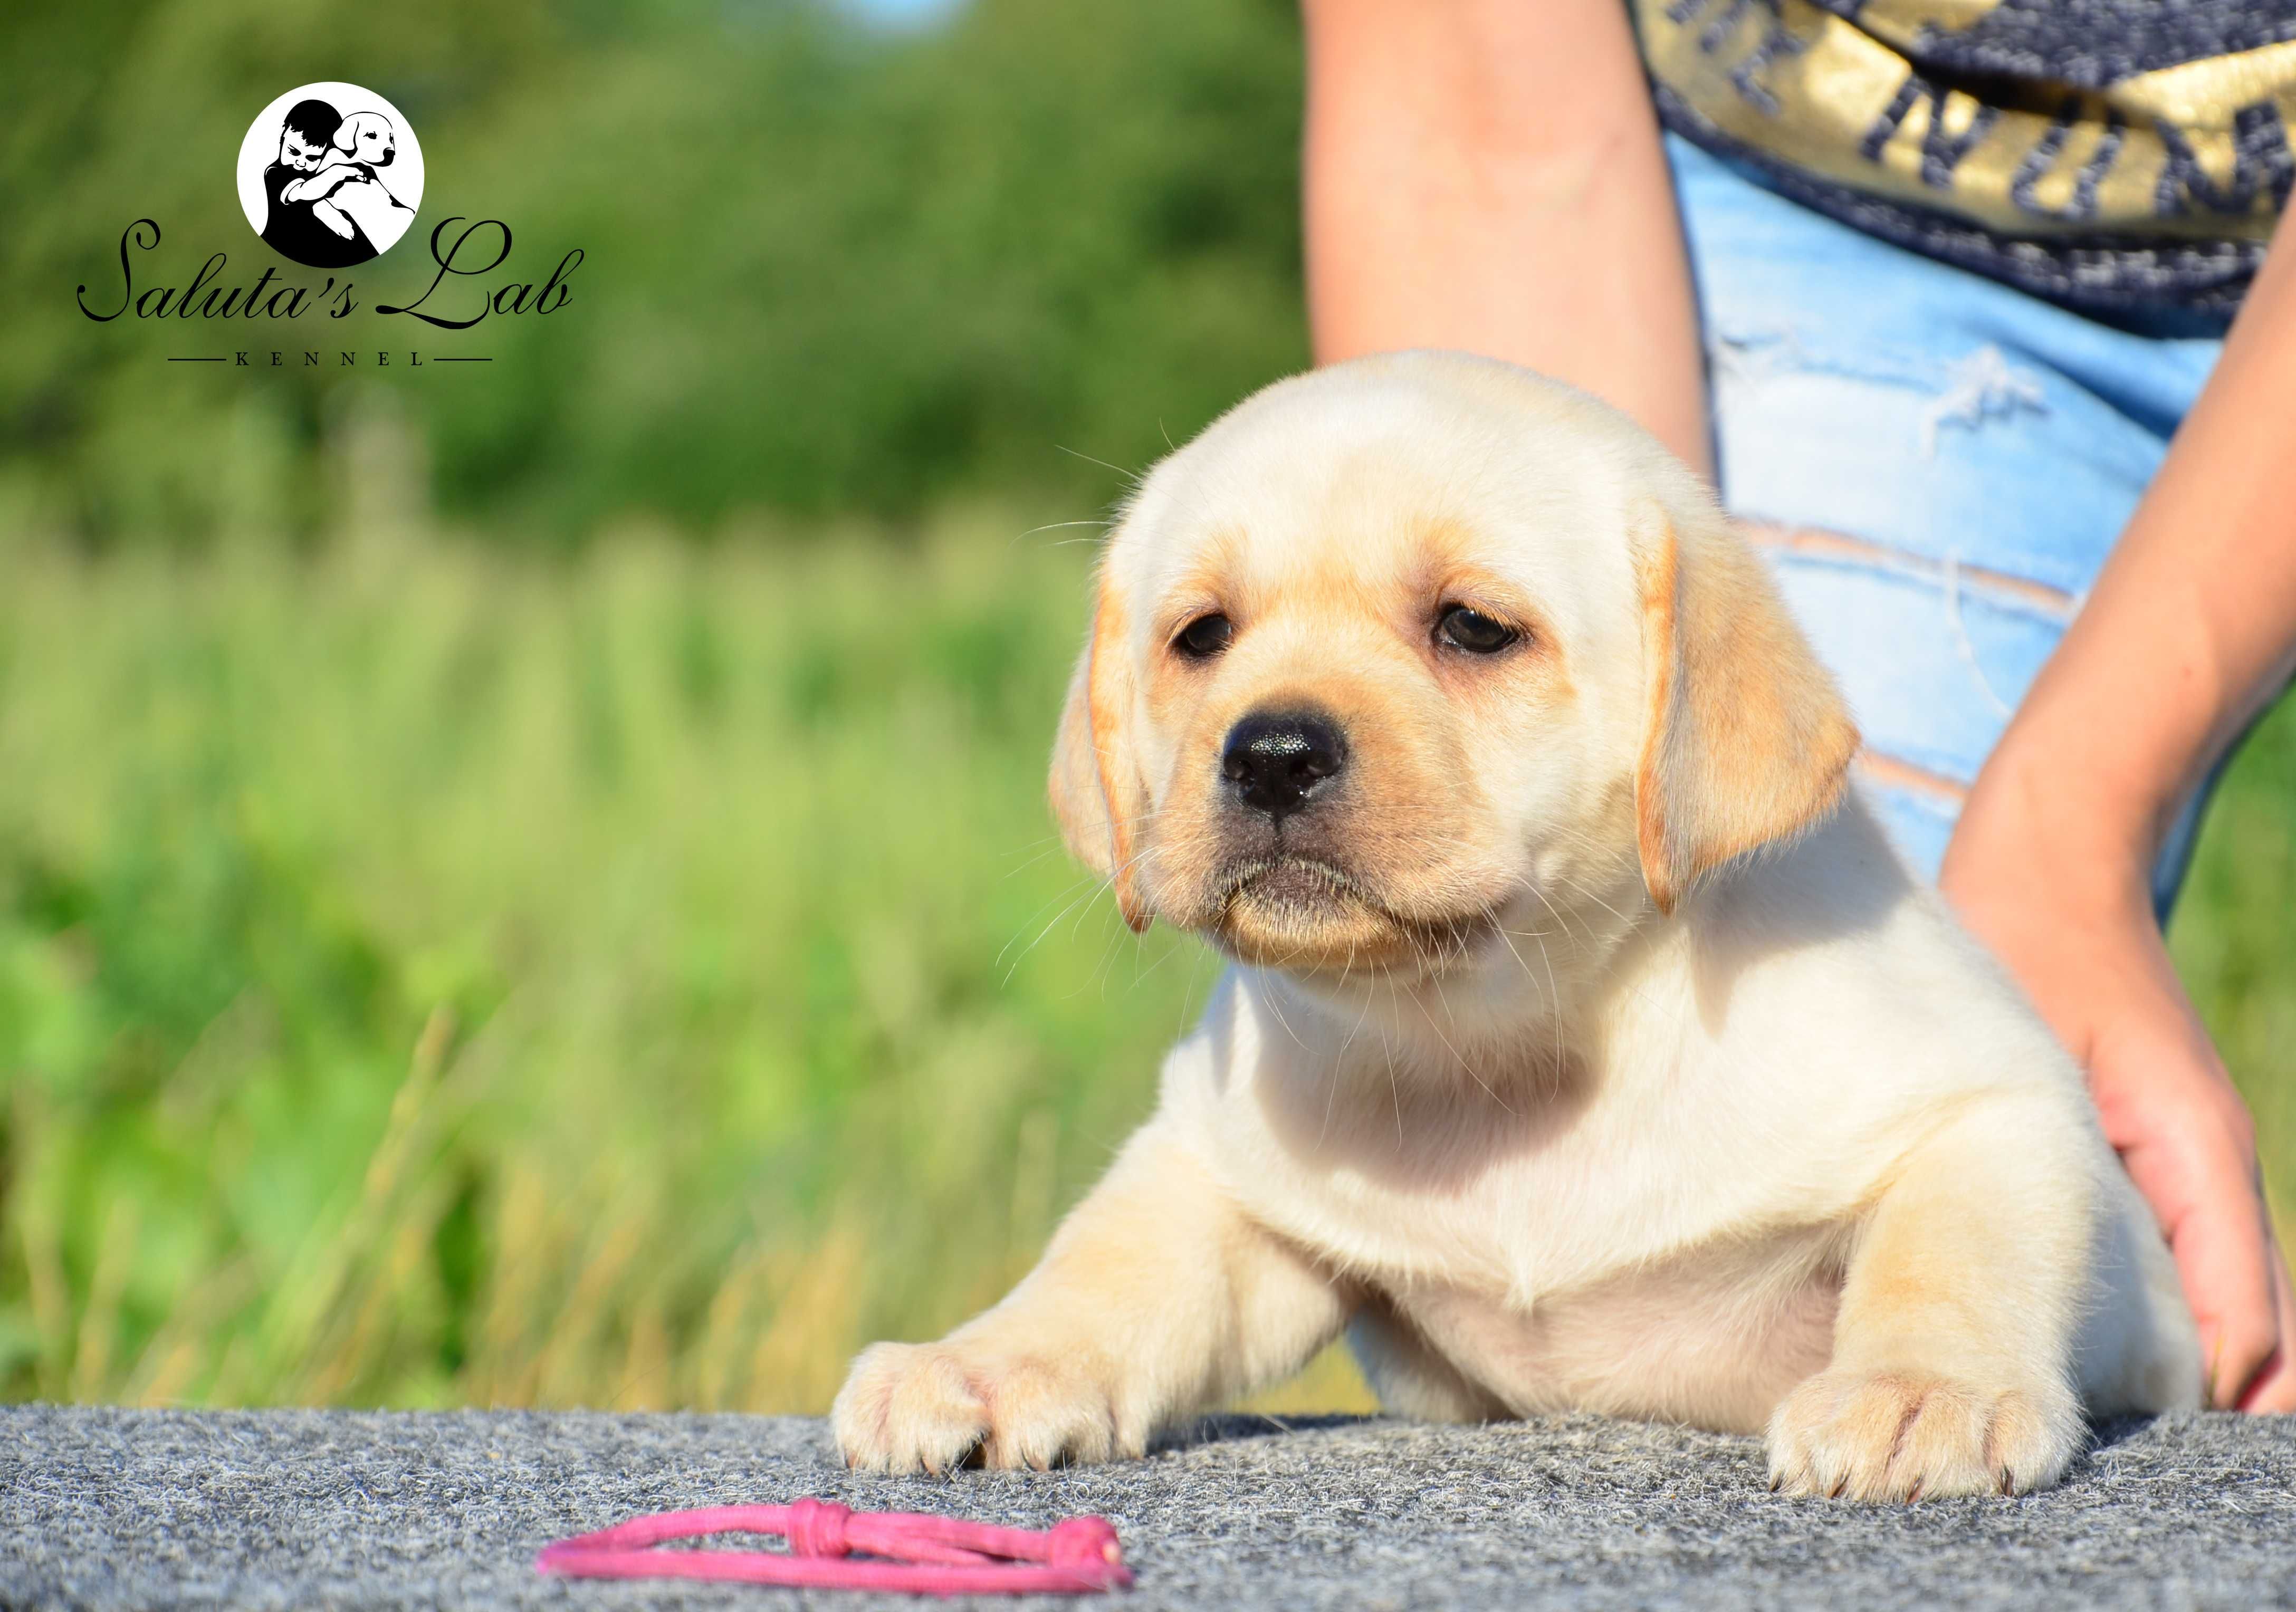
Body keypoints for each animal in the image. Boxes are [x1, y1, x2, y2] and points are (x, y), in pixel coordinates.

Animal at [836, 351, 2195, 1506]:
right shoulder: (1221, 1171)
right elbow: (1107, 1261)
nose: (1269, 752)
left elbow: (1951, 1246)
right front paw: (984, 1361)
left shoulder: (1998, 1100)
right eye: (1201, 636)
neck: (1498, 1038)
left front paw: (1918, 1390)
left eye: (1472, 628)